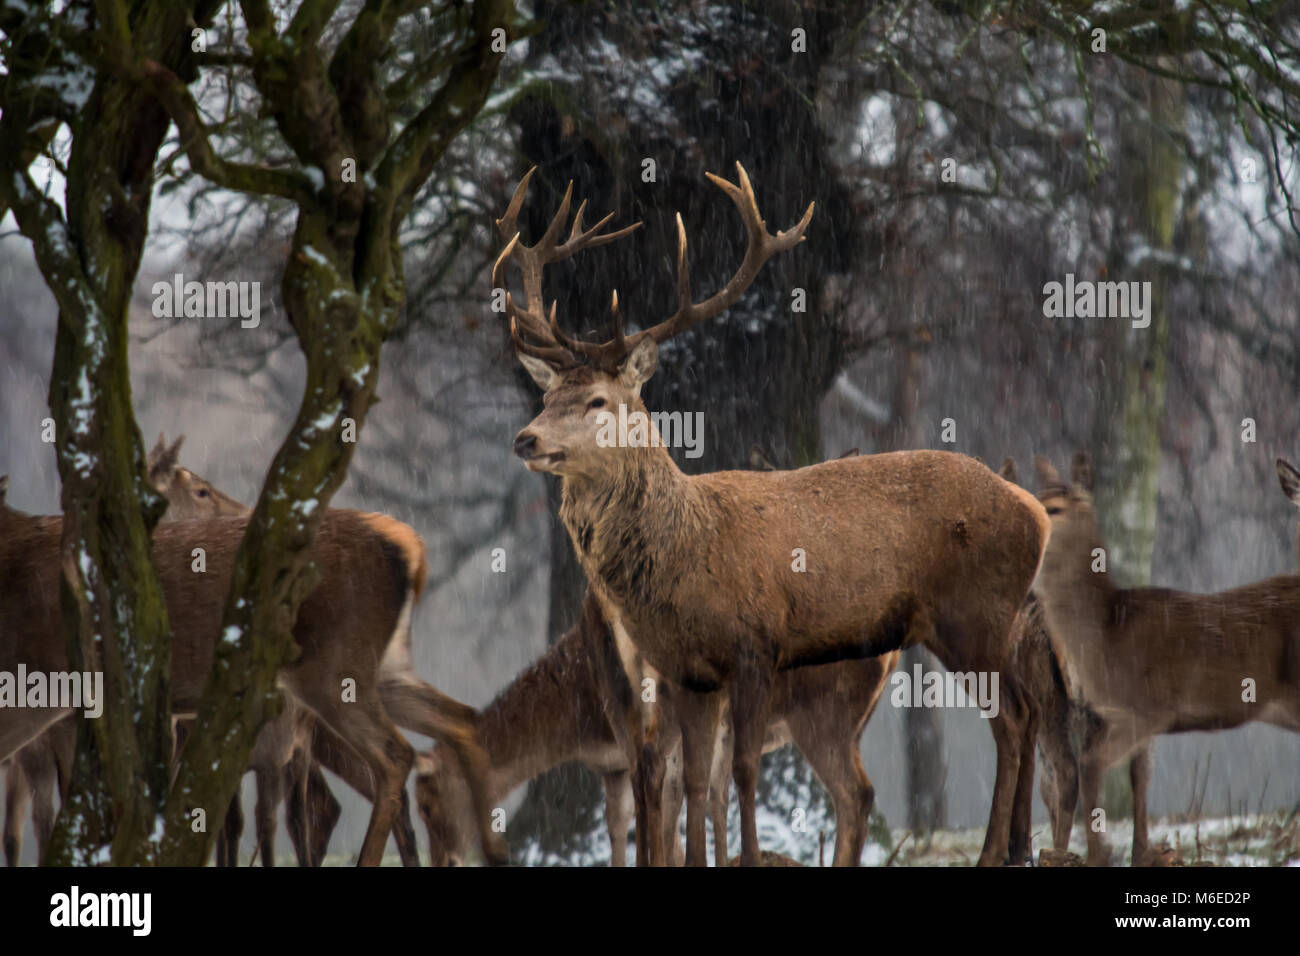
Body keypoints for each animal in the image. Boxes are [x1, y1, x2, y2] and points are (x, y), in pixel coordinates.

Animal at [0, 476, 501, 868]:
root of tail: (407, 545)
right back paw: (496, 849)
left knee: (395, 754)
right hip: (384, 667)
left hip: (332, 665)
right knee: (462, 720)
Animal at [416, 590, 894, 868]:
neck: (578, 722)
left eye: (428, 804)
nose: (442, 860)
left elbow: (674, 807)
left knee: (855, 793)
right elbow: (627, 821)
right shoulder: (614, 764)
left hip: (821, 713)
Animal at [491, 164, 1050, 868]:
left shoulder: (756, 643)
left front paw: (751, 858)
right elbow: (691, 780)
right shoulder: (687, 674)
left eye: (596, 399)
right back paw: (1019, 848)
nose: (525, 439)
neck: (685, 556)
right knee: (1023, 712)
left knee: (1013, 719)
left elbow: (743, 769)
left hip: (973, 613)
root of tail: (1037, 514)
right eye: (547, 395)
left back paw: (992, 853)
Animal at [1034, 455, 1300, 868]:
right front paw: (1137, 852)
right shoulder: (1133, 720)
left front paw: (1099, 853)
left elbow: (1090, 765)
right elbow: (1137, 778)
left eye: (1055, 509)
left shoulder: (1147, 707)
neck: (1106, 635)